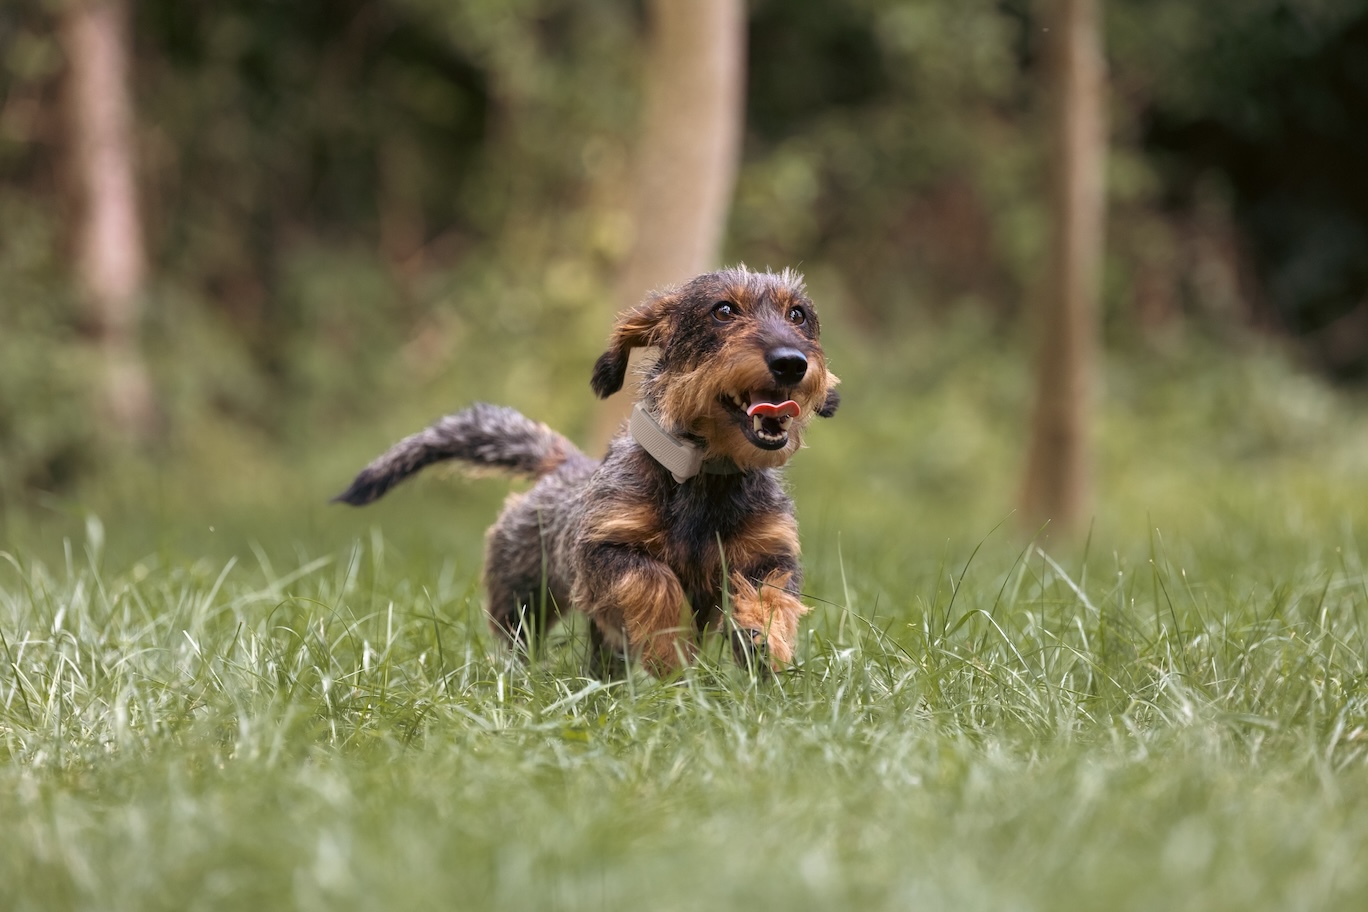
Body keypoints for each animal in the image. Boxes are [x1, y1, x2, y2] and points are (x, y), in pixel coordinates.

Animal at [336, 265, 837, 678]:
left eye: (798, 315)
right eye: (724, 310)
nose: (791, 362)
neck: (705, 478)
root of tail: (566, 465)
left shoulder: (768, 551)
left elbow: (770, 593)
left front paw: (765, 640)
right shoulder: (603, 550)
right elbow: (653, 581)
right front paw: (668, 651)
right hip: (523, 598)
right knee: (519, 638)